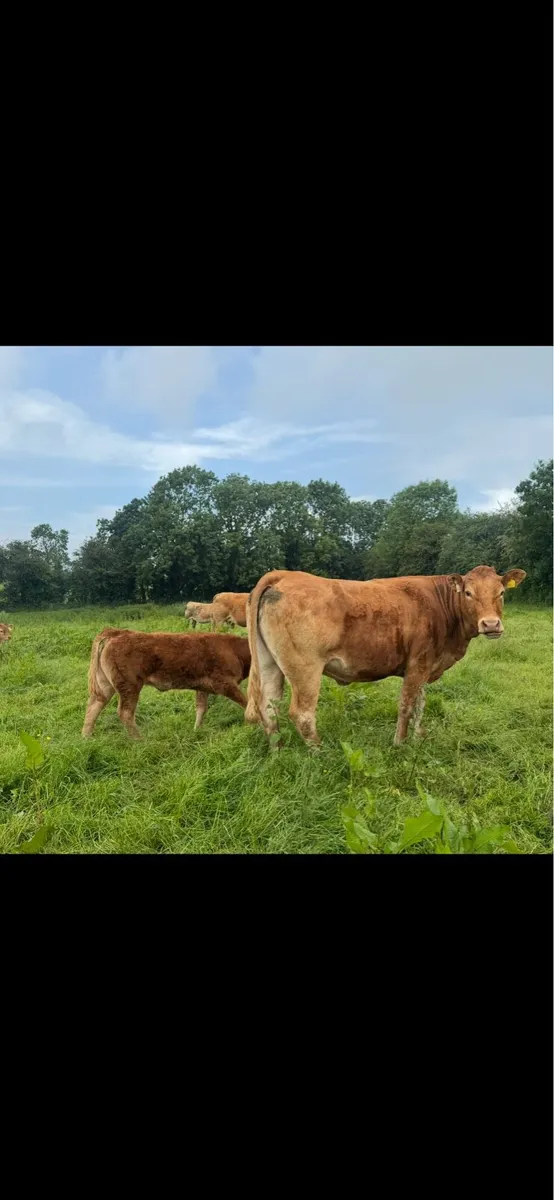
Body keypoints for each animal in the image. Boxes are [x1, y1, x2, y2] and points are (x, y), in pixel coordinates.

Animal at [82, 627, 251, 740]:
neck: (233, 649)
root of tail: (117, 632)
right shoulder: (224, 683)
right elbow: (246, 702)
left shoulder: (203, 687)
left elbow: (201, 709)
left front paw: (197, 731)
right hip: (130, 686)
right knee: (125, 713)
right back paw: (139, 740)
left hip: (104, 686)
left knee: (93, 707)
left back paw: (86, 739)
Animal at [245, 565, 526, 749]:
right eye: (468, 593)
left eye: (501, 593)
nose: (491, 624)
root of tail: (283, 575)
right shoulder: (417, 664)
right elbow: (406, 705)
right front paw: (400, 743)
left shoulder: (426, 664)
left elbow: (420, 704)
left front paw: (418, 737)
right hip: (305, 669)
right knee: (301, 714)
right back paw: (320, 752)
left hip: (269, 664)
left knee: (268, 707)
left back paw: (278, 750)